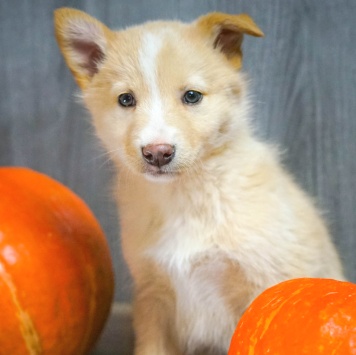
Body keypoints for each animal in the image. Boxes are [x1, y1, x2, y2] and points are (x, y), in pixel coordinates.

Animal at [54, 8, 344, 355]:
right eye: (125, 100)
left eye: (192, 96)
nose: (157, 153)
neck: (187, 196)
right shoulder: (153, 297)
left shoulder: (258, 287)